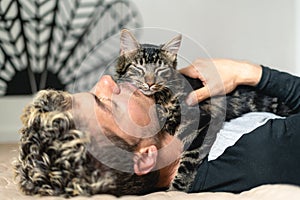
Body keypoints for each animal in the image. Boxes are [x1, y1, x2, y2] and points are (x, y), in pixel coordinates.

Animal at [113, 28, 290, 191]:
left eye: (160, 70)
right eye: (139, 68)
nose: (150, 83)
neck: (158, 99)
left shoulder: (202, 123)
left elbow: (188, 162)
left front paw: (176, 190)